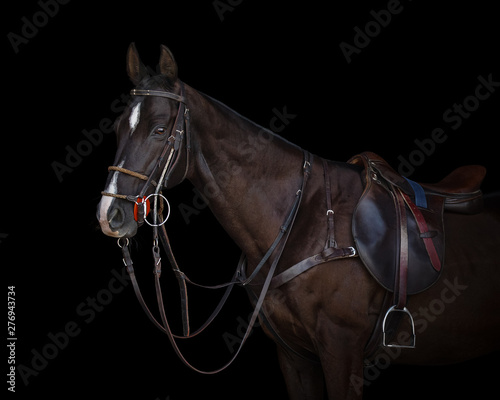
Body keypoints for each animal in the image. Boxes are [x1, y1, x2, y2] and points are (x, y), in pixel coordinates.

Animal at [97, 43, 500, 396]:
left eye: (159, 130)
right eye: (117, 129)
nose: (109, 214)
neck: (310, 222)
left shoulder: (342, 351)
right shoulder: (295, 358)